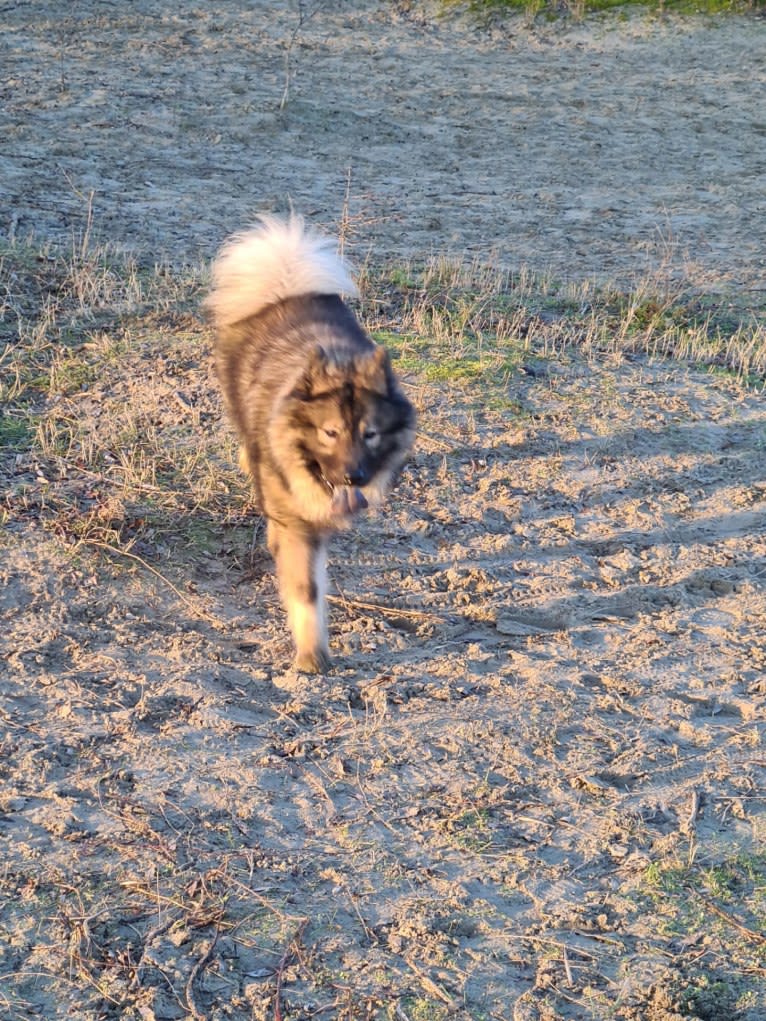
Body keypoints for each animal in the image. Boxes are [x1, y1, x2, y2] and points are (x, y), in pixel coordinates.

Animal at [207, 215, 416, 673]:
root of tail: (285, 289)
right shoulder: (295, 523)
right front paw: (310, 655)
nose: (353, 477)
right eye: (330, 432)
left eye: (370, 433)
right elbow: (305, 589)